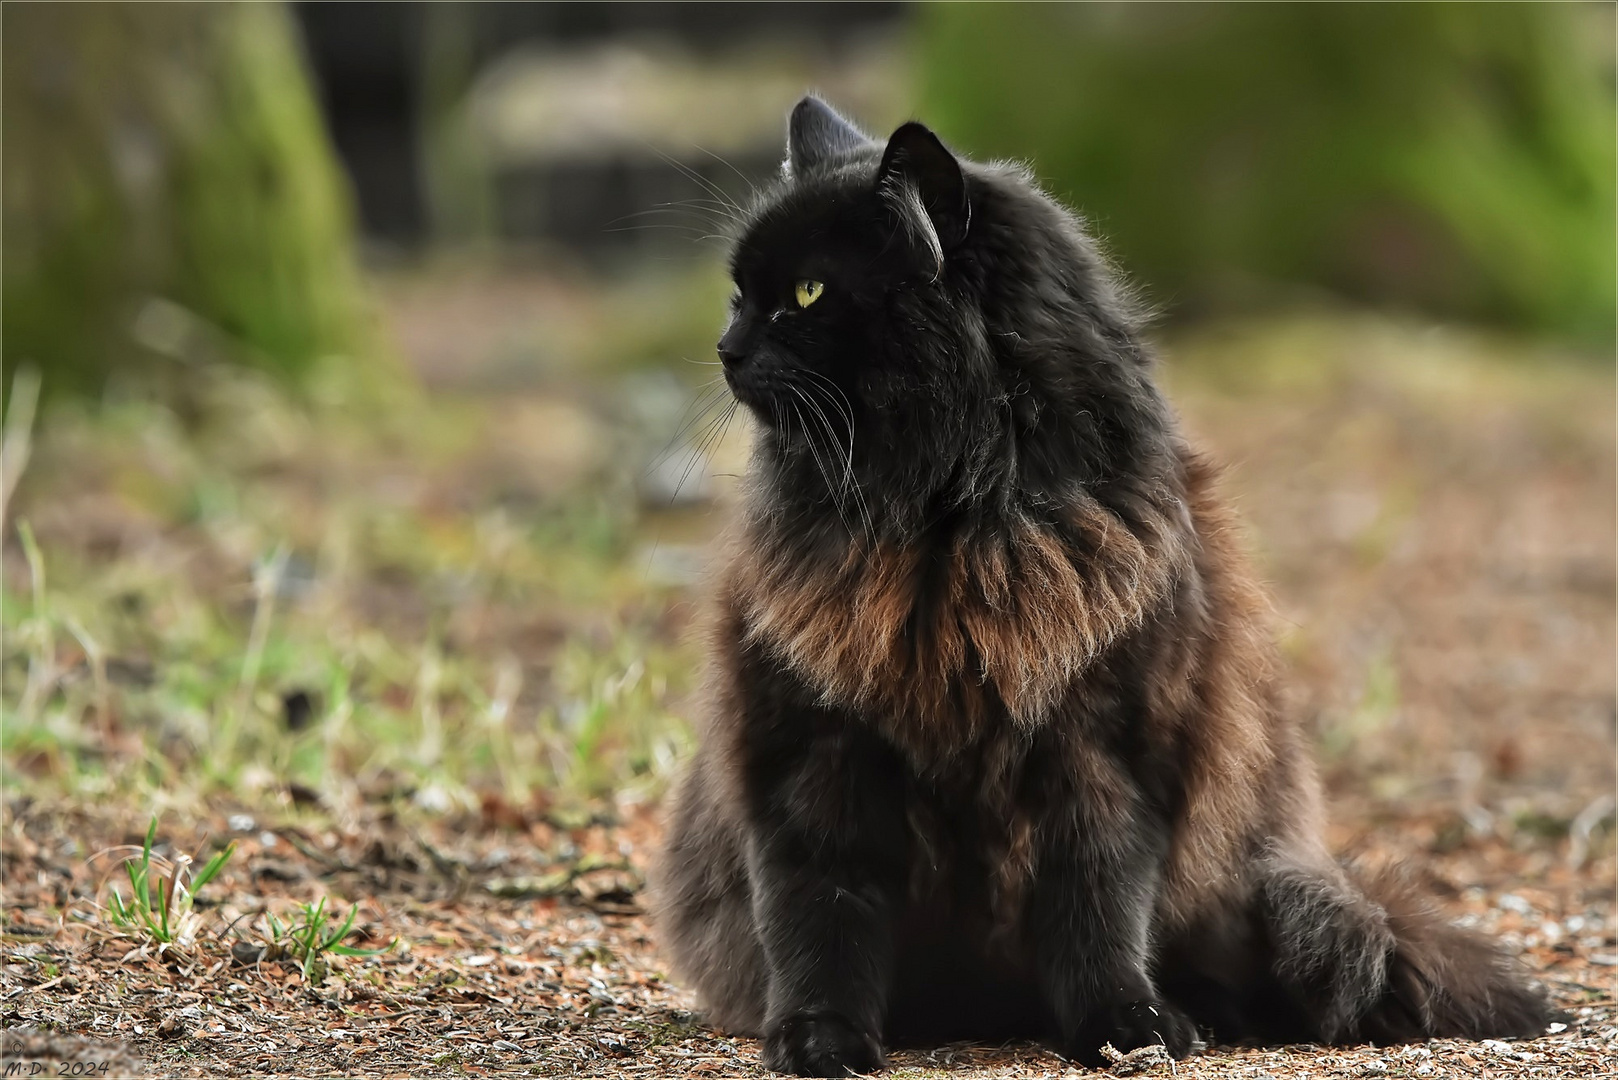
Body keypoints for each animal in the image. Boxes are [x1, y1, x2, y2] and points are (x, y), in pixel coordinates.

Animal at [650, 97, 1546, 1075]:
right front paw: (820, 1037)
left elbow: (1098, 910)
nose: (726, 347)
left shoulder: (1106, 754)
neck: (950, 526)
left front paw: (1128, 1024)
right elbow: (821, 919)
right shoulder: (810, 754)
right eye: (740, 295)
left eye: (808, 294)